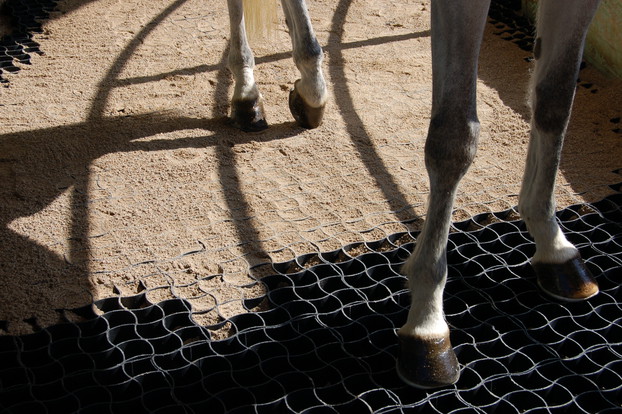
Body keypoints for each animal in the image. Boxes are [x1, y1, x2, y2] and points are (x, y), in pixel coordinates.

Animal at [234, 0, 602, 389]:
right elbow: (455, 138)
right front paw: (427, 320)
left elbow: (556, 101)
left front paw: (553, 243)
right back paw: (246, 92)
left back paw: (309, 89)